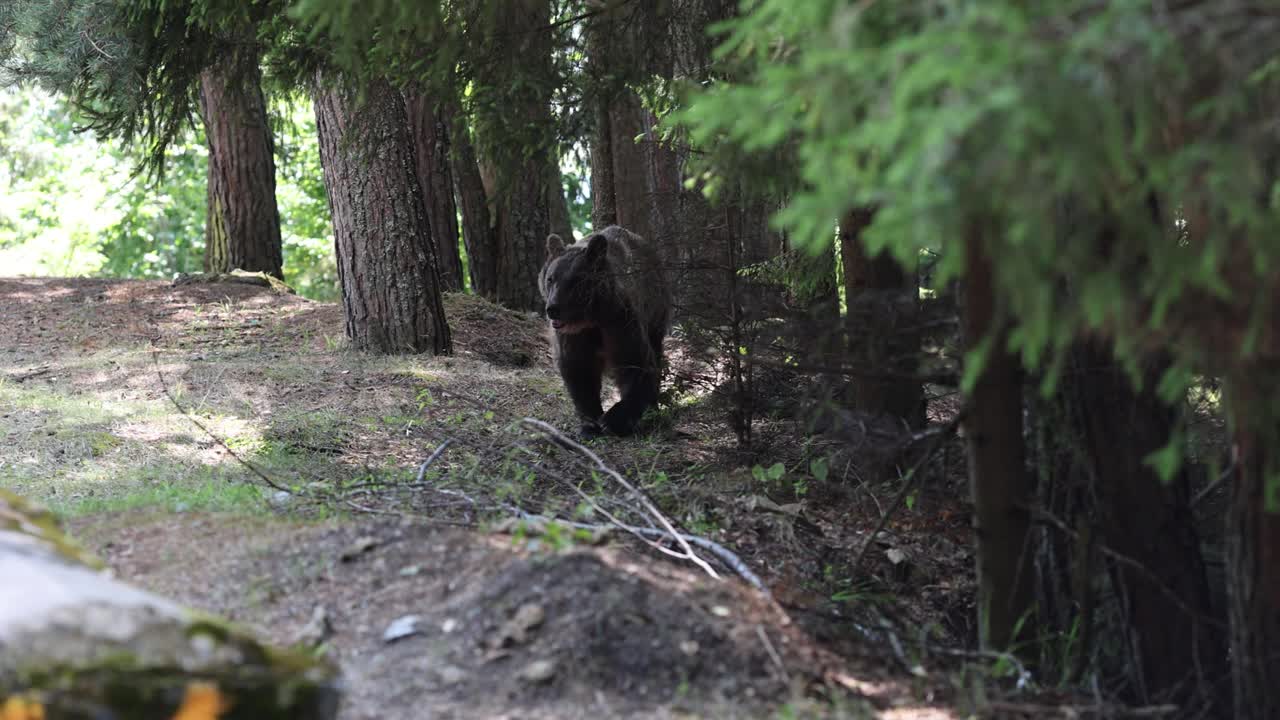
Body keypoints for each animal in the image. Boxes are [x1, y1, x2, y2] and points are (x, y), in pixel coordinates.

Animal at [540, 226, 675, 435]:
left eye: (574, 281)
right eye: (550, 278)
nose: (552, 309)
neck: (590, 319)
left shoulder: (619, 320)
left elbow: (635, 363)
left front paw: (613, 420)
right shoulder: (572, 336)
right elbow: (579, 369)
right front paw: (590, 423)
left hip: (655, 308)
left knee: (655, 348)